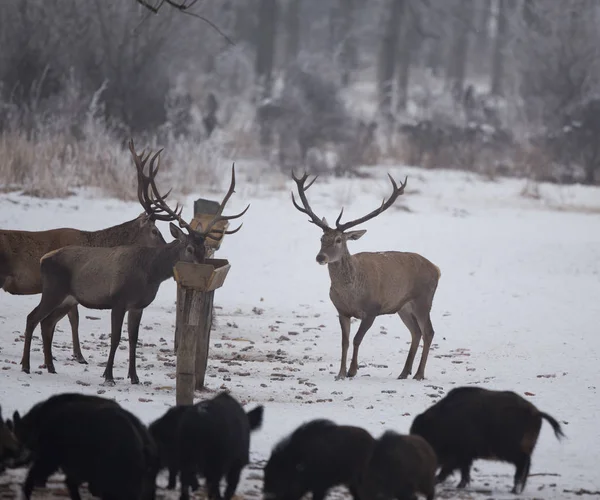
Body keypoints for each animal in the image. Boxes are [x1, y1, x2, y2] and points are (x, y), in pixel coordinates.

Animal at [19, 143, 247, 384]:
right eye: (189, 248)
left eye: (204, 249)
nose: (204, 267)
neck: (149, 274)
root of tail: (44, 259)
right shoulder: (118, 300)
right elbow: (116, 338)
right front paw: (109, 375)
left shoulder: (138, 306)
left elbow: (133, 339)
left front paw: (134, 377)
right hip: (53, 290)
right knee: (33, 317)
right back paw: (26, 365)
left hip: (68, 298)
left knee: (47, 322)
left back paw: (51, 367)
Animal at [292, 172, 440, 378]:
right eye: (322, 238)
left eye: (339, 239)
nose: (320, 257)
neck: (351, 294)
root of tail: (437, 269)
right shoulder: (342, 311)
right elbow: (344, 342)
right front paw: (340, 373)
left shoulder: (372, 309)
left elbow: (356, 339)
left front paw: (353, 371)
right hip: (402, 306)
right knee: (416, 332)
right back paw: (404, 373)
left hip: (423, 299)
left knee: (429, 332)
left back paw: (419, 374)